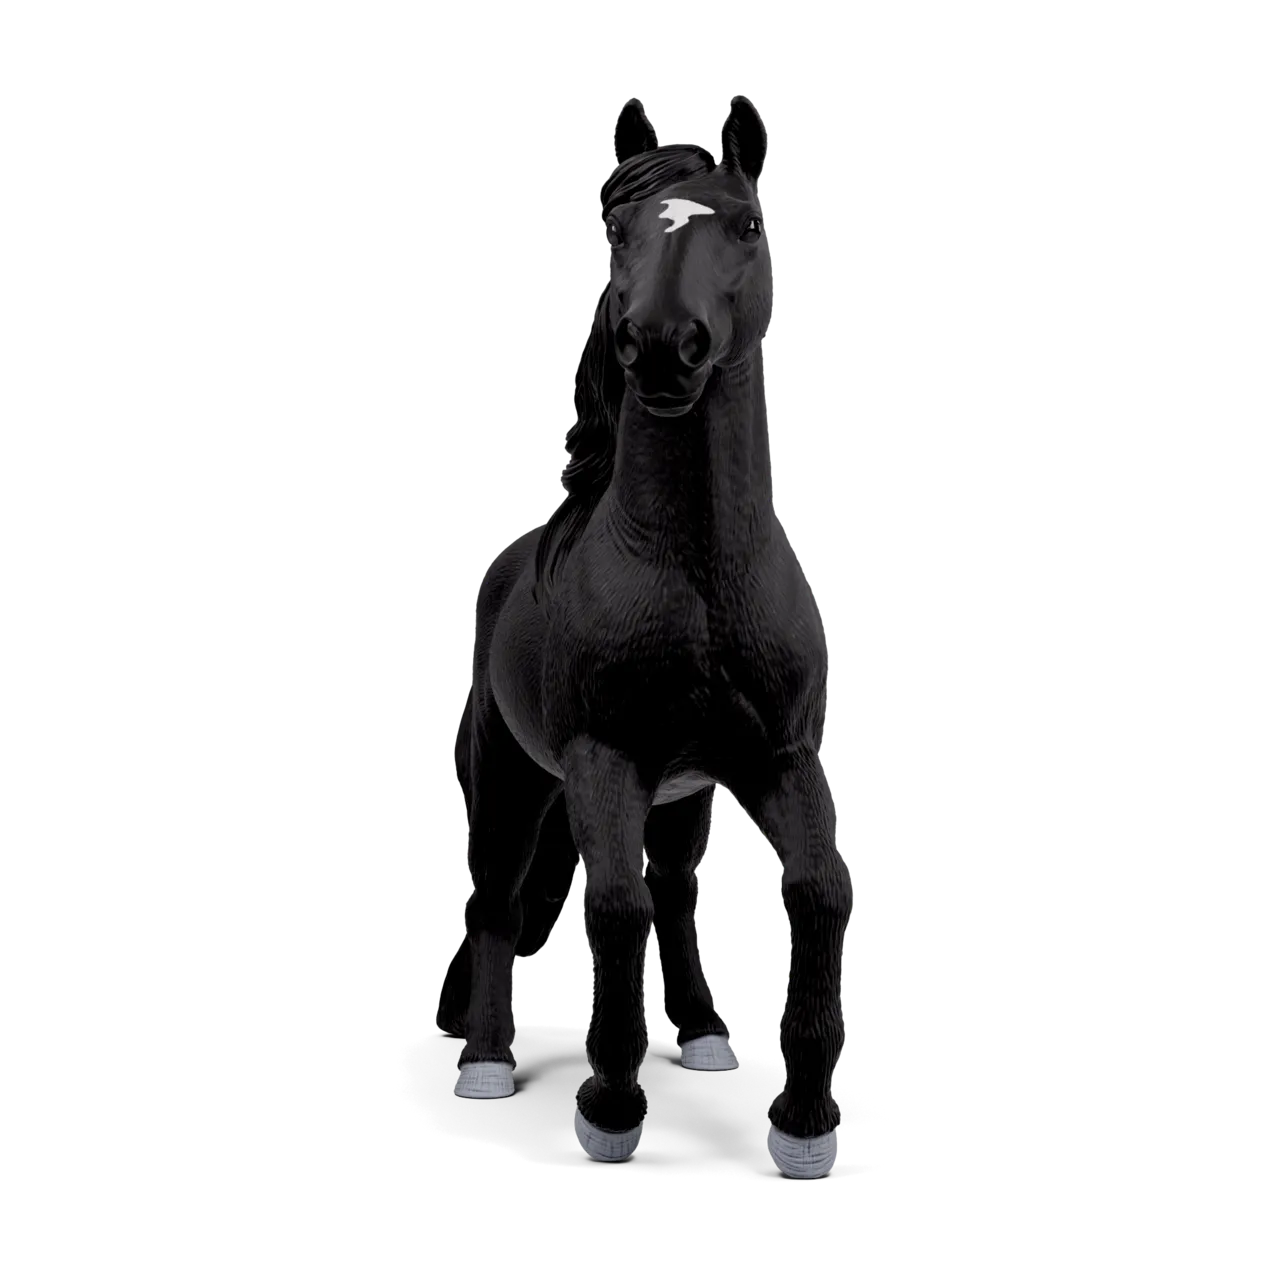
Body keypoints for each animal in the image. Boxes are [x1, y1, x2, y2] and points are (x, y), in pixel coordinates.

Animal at [438, 95, 850, 1178]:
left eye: (746, 223)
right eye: (617, 229)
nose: (662, 347)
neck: (696, 575)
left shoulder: (779, 756)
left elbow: (817, 894)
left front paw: (802, 1124)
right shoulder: (602, 758)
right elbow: (613, 908)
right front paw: (610, 1107)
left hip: (684, 787)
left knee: (674, 888)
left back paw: (704, 1033)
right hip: (509, 772)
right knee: (498, 901)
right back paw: (484, 1063)